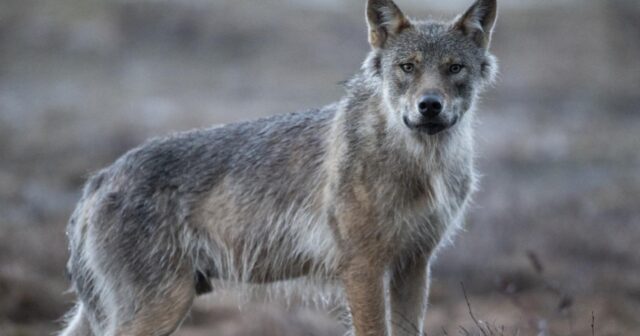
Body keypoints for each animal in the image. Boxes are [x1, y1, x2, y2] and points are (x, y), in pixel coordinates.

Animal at [60, 1, 498, 334]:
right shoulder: (363, 267)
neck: (421, 162)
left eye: (454, 68)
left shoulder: (414, 265)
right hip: (161, 307)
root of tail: (100, 179)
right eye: (408, 67)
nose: (430, 106)